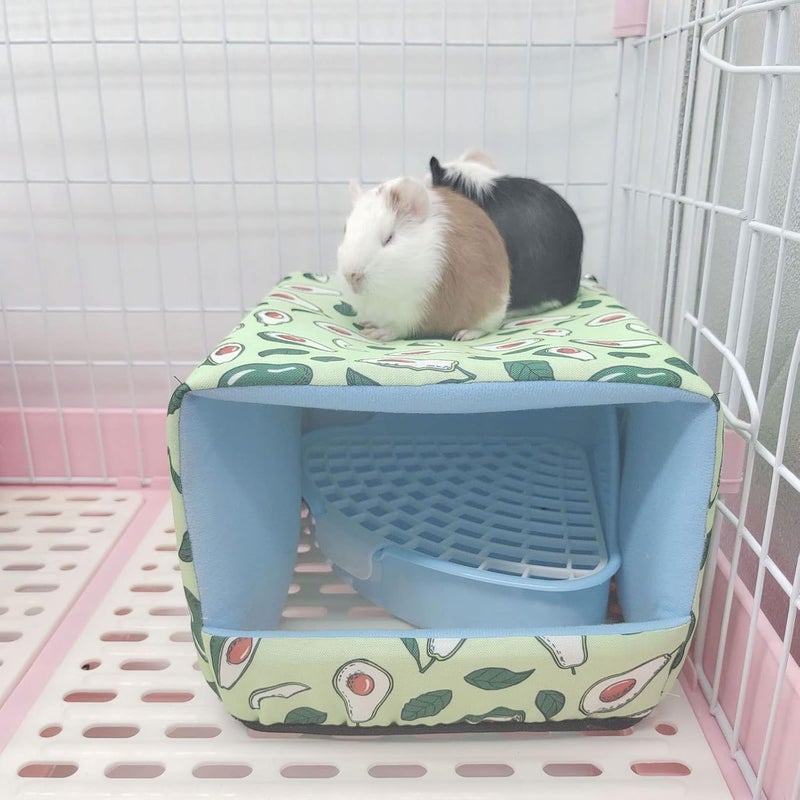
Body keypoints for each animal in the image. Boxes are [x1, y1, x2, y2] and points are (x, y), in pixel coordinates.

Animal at [336, 176, 510, 342]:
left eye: (389, 238)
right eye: (345, 230)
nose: (351, 276)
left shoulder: (410, 313)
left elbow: (396, 329)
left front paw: (375, 334)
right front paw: (367, 325)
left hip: (489, 316)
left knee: (485, 329)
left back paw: (462, 335)